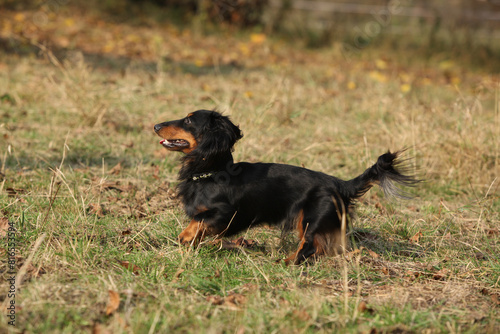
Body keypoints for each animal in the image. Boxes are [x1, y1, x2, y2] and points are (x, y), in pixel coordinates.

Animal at [154, 109, 420, 264]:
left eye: (189, 119)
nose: (156, 125)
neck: (212, 171)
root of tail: (340, 184)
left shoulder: (225, 213)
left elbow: (196, 222)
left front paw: (184, 238)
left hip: (310, 218)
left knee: (309, 246)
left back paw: (288, 261)